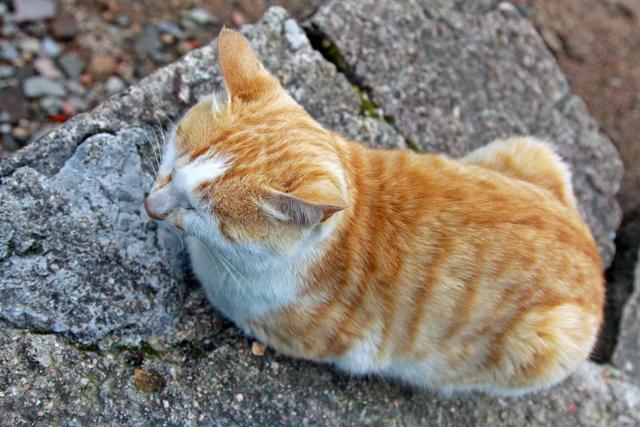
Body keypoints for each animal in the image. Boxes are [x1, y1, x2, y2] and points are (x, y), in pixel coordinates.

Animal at [145, 28, 604, 396]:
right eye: (172, 165)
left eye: (202, 210)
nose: (152, 207)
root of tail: (597, 268)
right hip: (532, 149)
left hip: (546, 343)